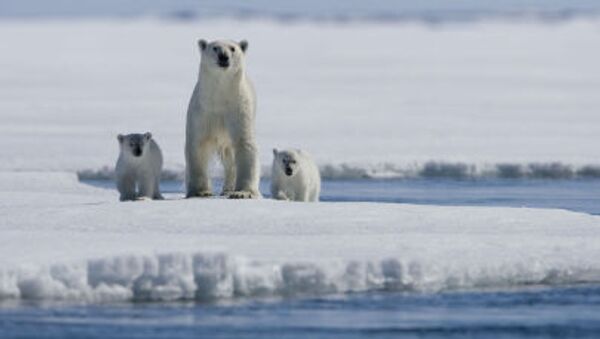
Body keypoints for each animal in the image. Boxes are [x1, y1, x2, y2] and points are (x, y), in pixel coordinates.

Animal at [185, 38, 260, 199]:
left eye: (233, 48)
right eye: (215, 48)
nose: (223, 56)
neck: (220, 96)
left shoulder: (238, 110)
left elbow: (244, 144)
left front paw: (242, 193)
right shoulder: (202, 111)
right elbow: (198, 145)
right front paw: (201, 191)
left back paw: (229, 189)